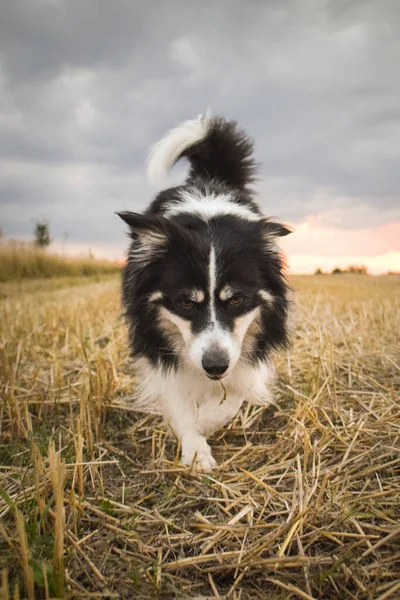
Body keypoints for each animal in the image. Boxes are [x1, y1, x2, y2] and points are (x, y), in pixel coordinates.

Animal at [118, 112, 290, 468]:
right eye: (185, 302)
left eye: (236, 299)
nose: (214, 366)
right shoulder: (158, 343)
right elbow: (177, 395)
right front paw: (195, 445)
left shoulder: (247, 348)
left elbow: (237, 391)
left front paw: (208, 421)